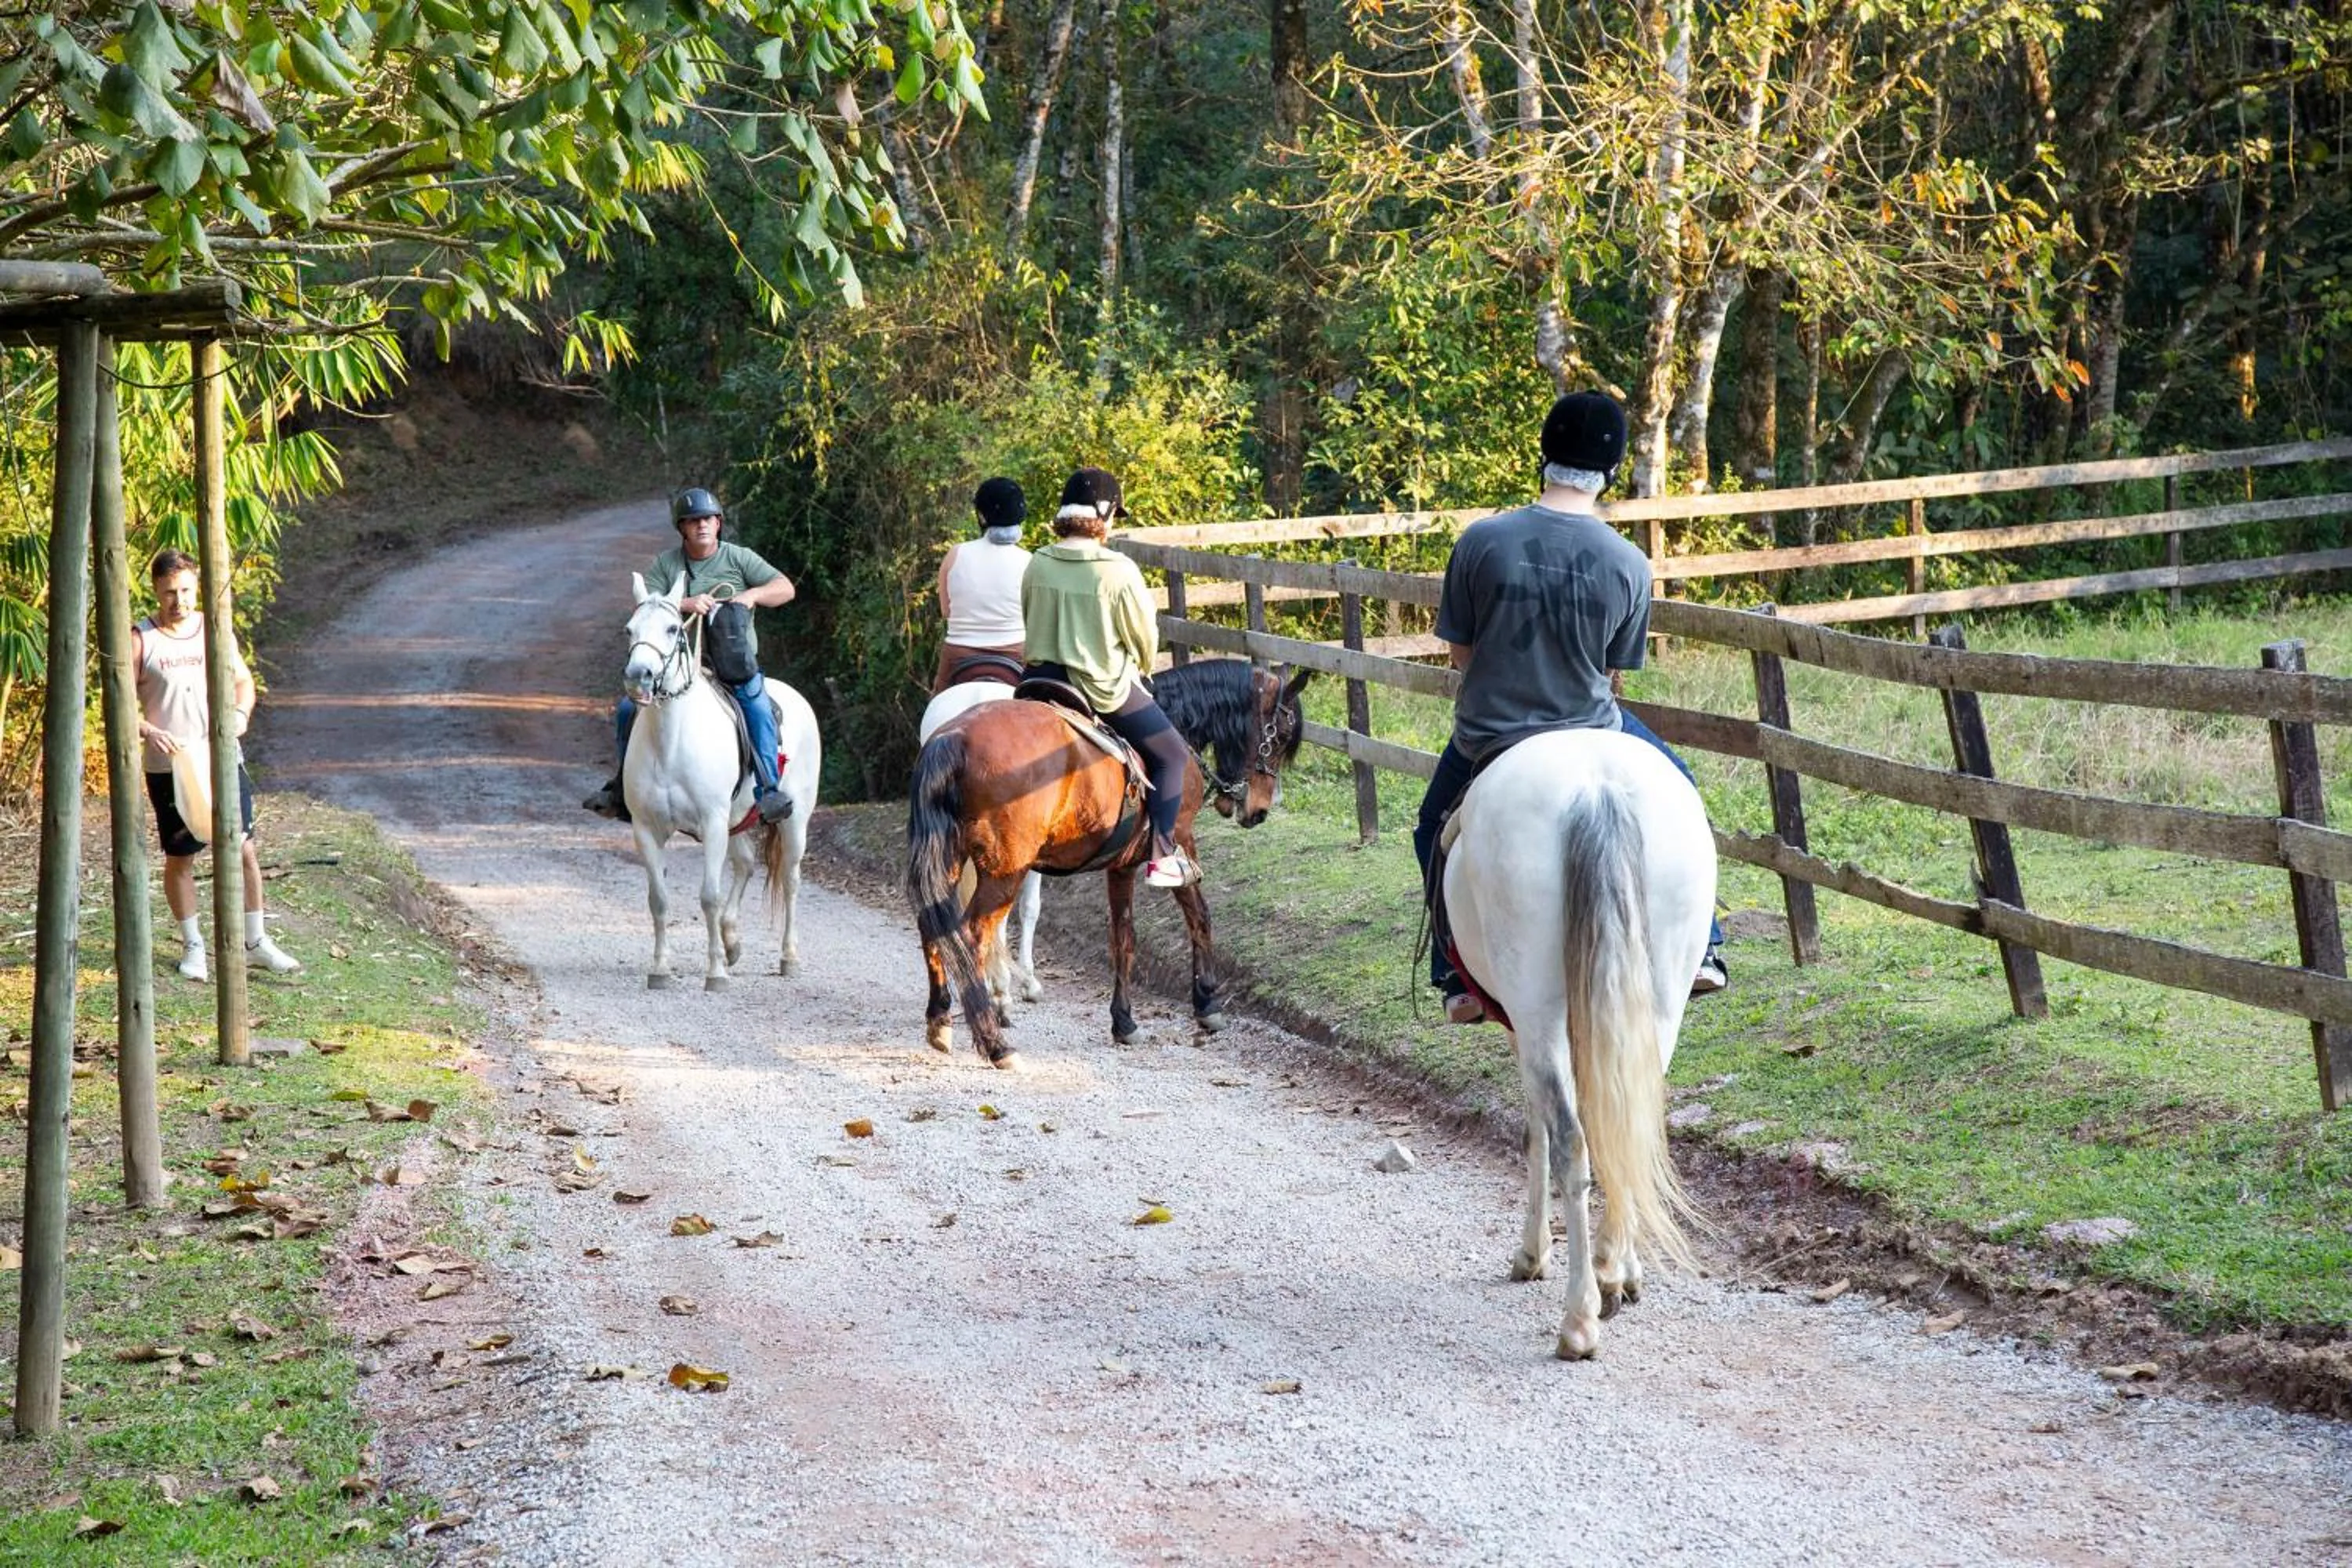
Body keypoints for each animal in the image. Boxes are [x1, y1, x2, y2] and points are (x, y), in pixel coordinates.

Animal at [619, 573, 822, 990]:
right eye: (629, 630)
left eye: (673, 629)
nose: (638, 676)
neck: (671, 742)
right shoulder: (646, 828)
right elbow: (658, 899)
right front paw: (660, 968)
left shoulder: (712, 823)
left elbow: (708, 896)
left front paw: (715, 974)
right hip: (737, 821)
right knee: (745, 865)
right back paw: (732, 941)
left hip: (794, 820)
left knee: (791, 879)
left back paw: (788, 957)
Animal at [1441, 727, 1715, 1360]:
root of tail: (1597, 790)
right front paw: (1623, 1270)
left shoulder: (1519, 1026)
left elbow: (1536, 1133)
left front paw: (1532, 1253)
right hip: (1661, 998)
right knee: (1631, 1125)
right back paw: (1613, 1274)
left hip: (1536, 1007)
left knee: (1572, 1141)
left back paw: (1579, 1319)